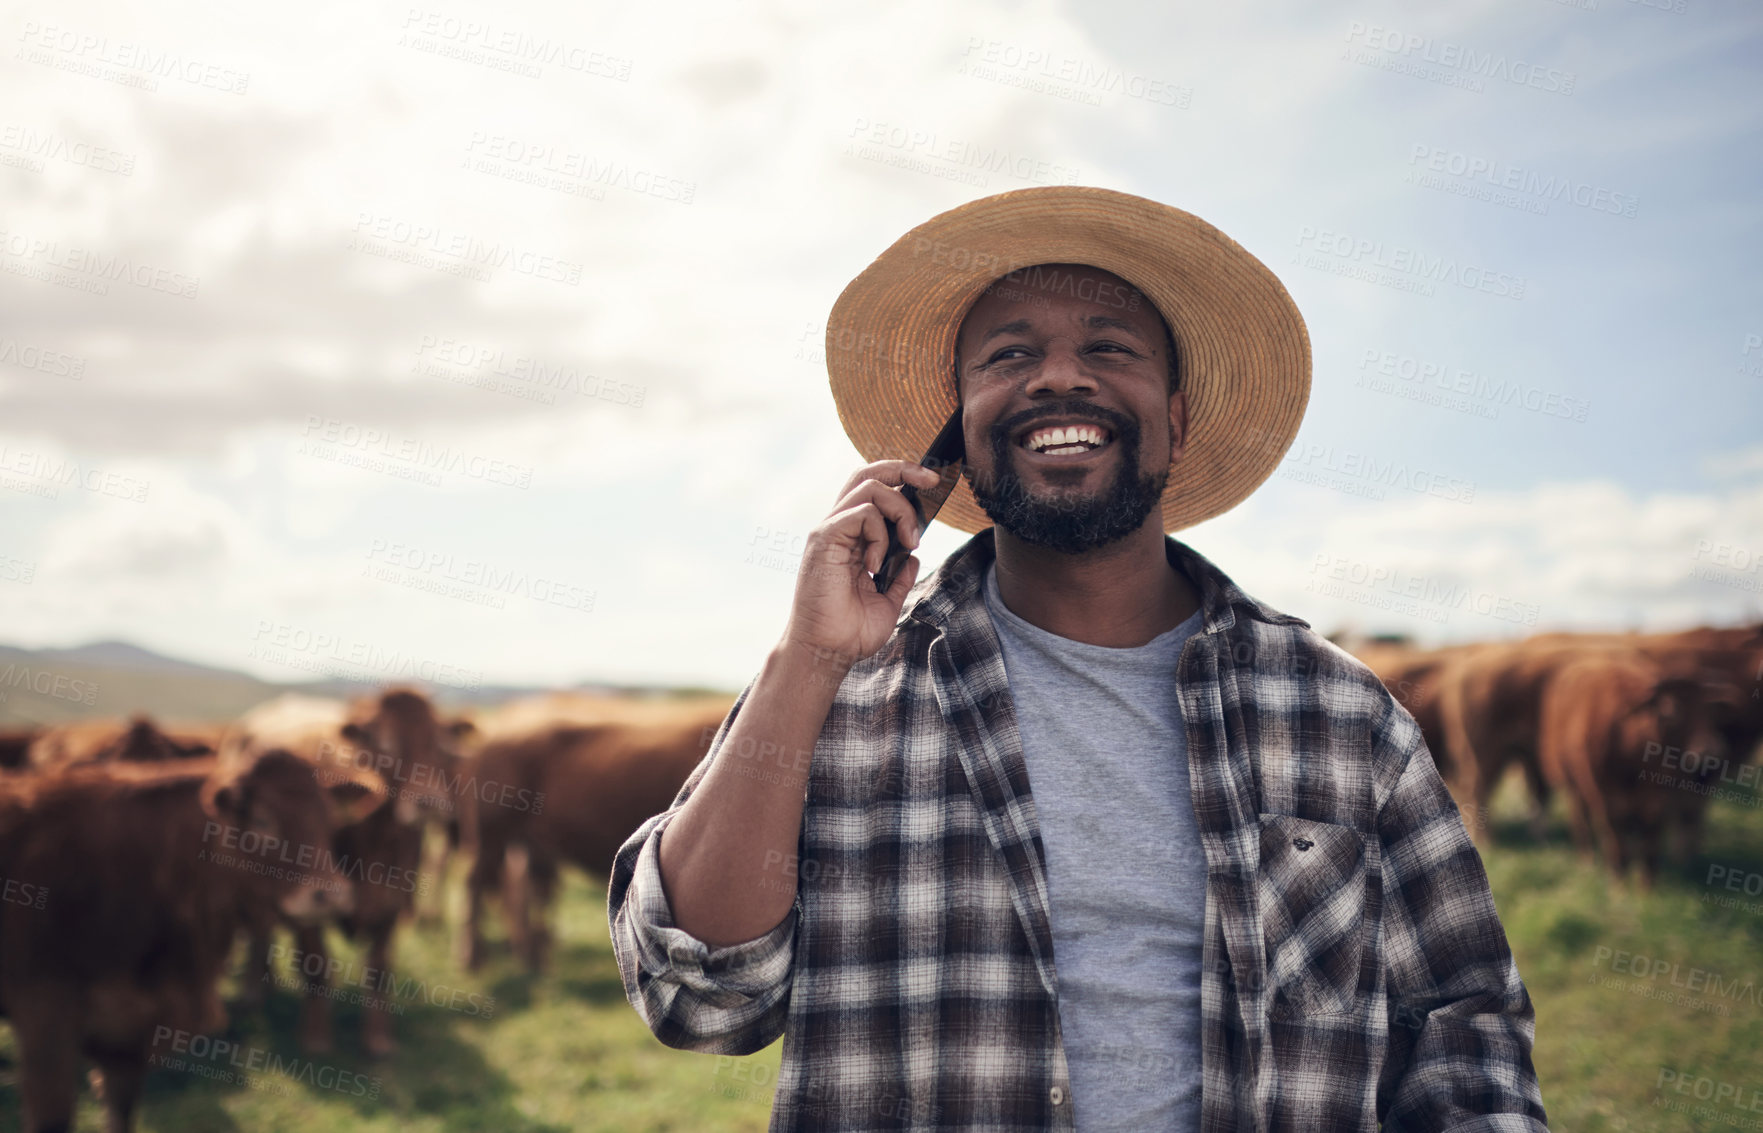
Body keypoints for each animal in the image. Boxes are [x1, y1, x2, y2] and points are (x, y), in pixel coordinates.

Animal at [0, 754, 382, 1133]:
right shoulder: (45, 1017)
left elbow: (122, 1111)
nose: (330, 895)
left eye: (329, 819)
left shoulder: (128, 1032)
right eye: (262, 820)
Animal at [227, 687, 476, 1057]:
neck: (376, 837)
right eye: (385, 742)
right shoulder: (310, 901)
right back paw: (252, 993)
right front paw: (316, 1038)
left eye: (439, 743)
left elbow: (379, 969)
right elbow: (315, 965)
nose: (428, 802)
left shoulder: (393, 902)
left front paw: (377, 1039)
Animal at [458, 701, 733, 972]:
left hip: (526, 842)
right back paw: (475, 957)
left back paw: (533, 957)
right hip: (492, 834)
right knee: (477, 882)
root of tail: (493, 732)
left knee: (525, 888)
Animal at [1537, 648, 1727, 888]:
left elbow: (1650, 845)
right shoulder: (1608, 802)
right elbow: (1617, 843)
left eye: (1709, 711)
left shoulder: (1659, 803)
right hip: (1572, 783)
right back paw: (1586, 860)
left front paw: (1647, 886)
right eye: (1673, 711)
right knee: (1580, 819)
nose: (1712, 751)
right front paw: (1619, 885)